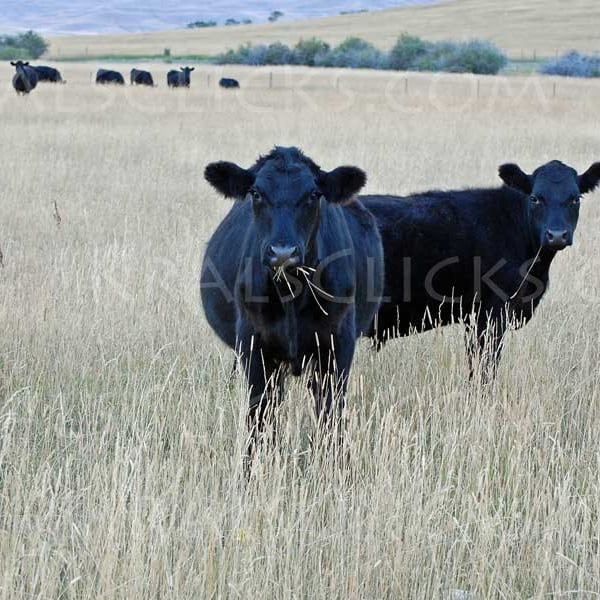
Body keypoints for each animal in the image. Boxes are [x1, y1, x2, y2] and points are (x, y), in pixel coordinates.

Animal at [199, 148, 382, 458]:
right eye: (256, 193)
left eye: (313, 194)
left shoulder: (338, 343)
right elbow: (259, 415)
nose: (282, 252)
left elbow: (331, 413)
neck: (291, 294)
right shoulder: (253, 344)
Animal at [360, 159, 600, 376]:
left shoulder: (472, 317)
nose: (557, 235)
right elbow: (485, 367)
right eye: (535, 198)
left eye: (576, 199)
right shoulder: (493, 311)